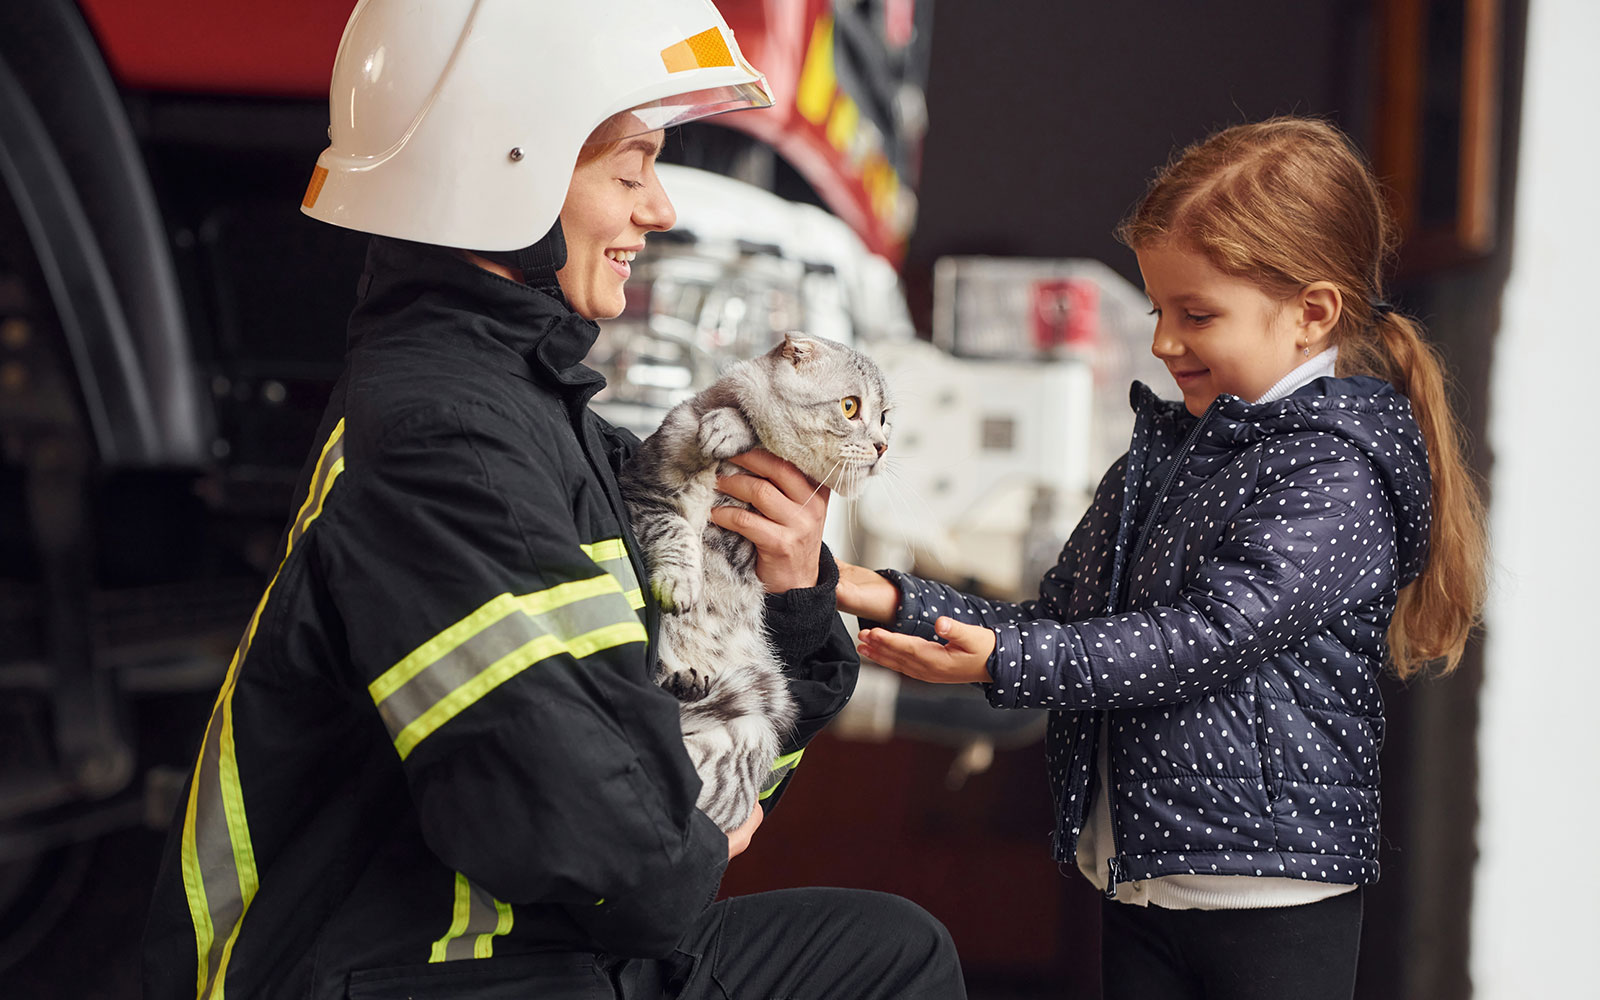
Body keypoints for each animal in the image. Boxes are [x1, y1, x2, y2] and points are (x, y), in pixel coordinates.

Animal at [620, 331, 896, 832]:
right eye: (850, 407)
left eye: (885, 417)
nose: (883, 446)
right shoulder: (647, 487)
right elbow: (676, 533)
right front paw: (681, 583)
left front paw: (728, 430)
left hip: (750, 726)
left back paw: (687, 686)